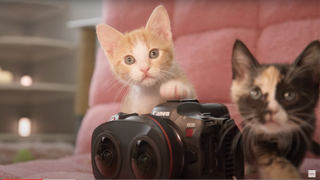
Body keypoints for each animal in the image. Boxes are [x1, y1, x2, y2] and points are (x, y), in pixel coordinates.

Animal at [230, 39, 320, 179]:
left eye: (289, 95)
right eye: (255, 93)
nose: (271, 111)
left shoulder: (304, 132)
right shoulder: (256, 134)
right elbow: (274, 161)